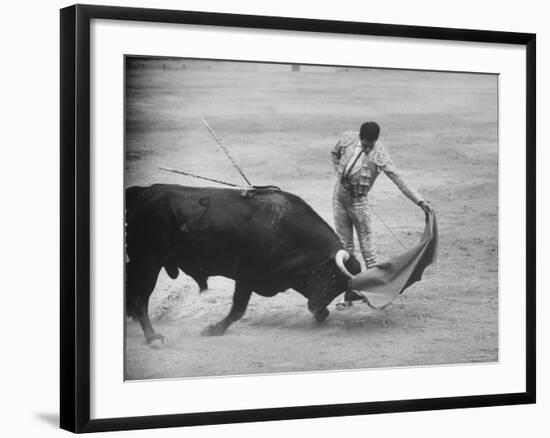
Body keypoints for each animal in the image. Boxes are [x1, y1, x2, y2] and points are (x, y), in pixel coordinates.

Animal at [127, 183, 364, 344]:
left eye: (342, 286)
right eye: (333, 275)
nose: (315, 306)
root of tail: (147, 192)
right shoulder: (246, 275)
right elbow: (238, 309)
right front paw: (214, 329)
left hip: (140, 262)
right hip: (148, 262)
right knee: (140, 299)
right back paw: (152, 337)